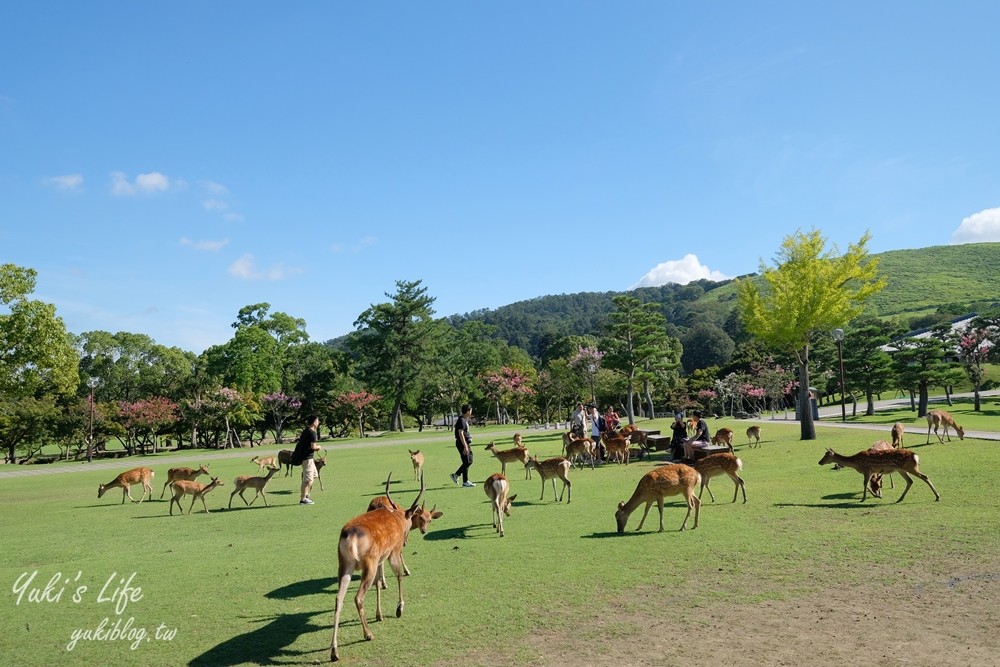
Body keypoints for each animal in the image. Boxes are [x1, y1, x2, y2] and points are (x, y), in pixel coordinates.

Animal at [332, 474, 442, 664]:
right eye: (419, 518)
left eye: (428, 519)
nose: (408, 537)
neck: (399, 516)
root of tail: (350, 537)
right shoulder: (393, 550)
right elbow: (399, 576)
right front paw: (399, 608)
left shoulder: (380, 558)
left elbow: (378, 583)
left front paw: (379, 615)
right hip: (368, 561)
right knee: (358, 597)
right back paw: (368, 634)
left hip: (345, 564)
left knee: (339, 598)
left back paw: (334, 651)